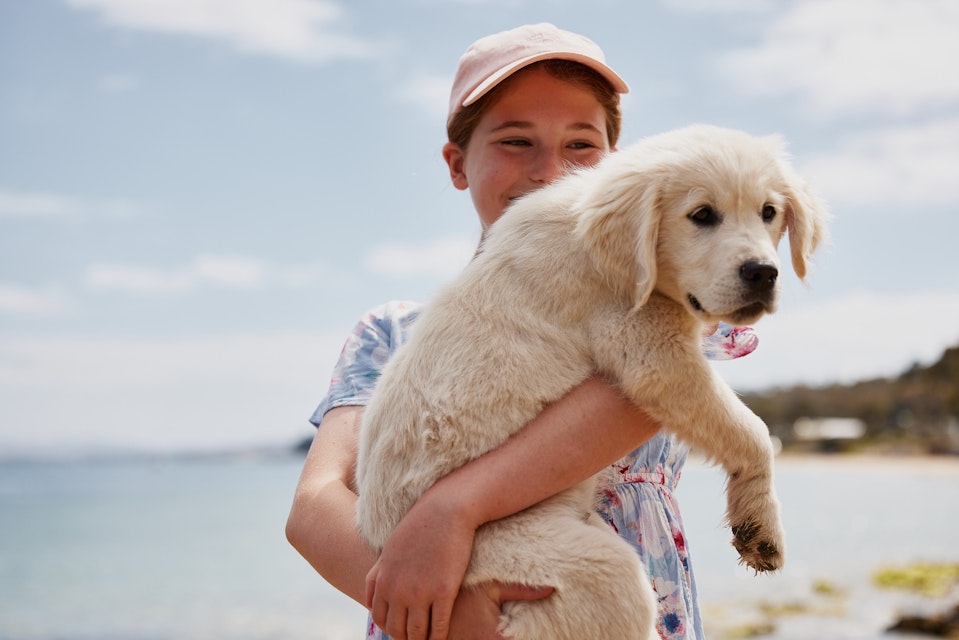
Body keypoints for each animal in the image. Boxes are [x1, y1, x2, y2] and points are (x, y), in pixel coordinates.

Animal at [356, 125, 828, 640]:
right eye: (702, 215)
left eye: (769, 212)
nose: (763, 274)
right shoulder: (652, 352)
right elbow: (753, 431)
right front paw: (760, 523)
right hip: (541, 559)